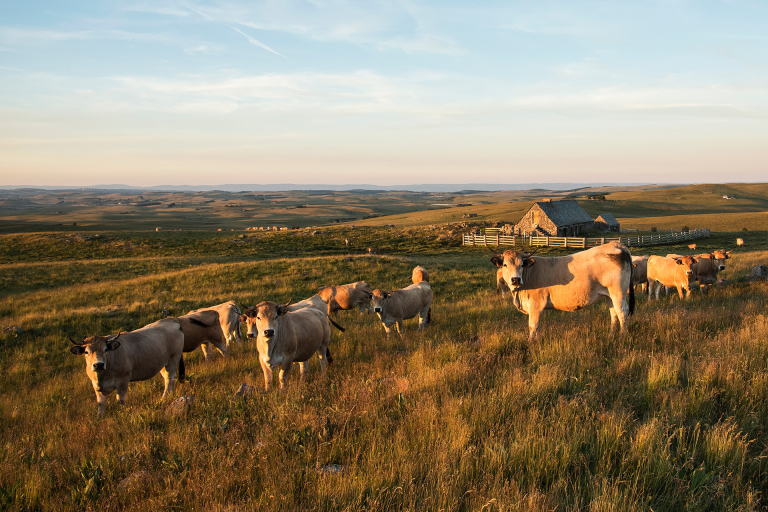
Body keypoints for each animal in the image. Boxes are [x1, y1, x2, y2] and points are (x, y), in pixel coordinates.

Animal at [489, 242, 634, 340]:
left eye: (521, 265)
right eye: (505, 265)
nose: (516, 279)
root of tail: (616, 244)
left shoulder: (536, 304)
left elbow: (533, 325)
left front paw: (530, 343)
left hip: (618, 292)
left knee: (622, 312)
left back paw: (623, 337)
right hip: (609, 294)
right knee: (613, 313)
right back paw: (610, 336)